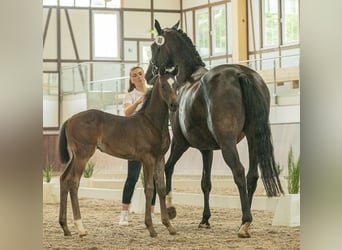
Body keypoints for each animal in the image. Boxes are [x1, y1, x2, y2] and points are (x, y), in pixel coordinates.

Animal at [57, 67, 178, 237]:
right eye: (163, 86)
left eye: (176, 85)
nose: (174, 105)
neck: (151, 123)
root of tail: (69, 119)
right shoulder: (147, 159)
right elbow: (149, 189)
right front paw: (151, 227)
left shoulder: (160, 158)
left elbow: (161, 188)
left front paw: (169, 226)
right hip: (83, 155)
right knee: (73, 182)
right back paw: (80, 228)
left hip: (75, 156)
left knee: (63, 179)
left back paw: (65, 227)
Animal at [144, 20, 284, 238]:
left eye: (154, 47)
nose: (148, 75)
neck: (188, 79)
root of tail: (241, 73)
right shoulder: (206, 149)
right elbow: (205, 183)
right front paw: (205, 219)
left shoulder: (180, 142)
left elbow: (168, 168)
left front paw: (170, 209)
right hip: (253, 138)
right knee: (252, 176)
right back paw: (245, 222)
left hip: (227, 142)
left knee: (238, 171)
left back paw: (245, 222)